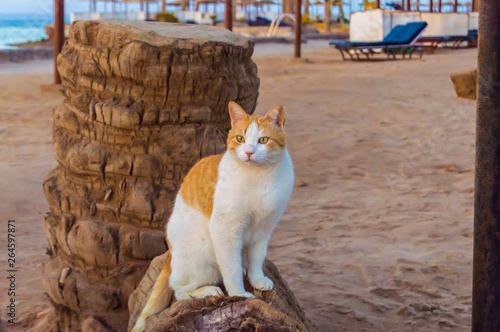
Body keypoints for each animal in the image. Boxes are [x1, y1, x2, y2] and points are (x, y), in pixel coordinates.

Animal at [132, 101, 292, 332]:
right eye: (240, 139)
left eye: (263, 140)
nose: (249, 152)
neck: (259, 176)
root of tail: (169, 253)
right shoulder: (226, 230)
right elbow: (231, 268)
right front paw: (239, 294)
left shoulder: (263, 229)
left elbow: (257, 258)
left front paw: (256, 279)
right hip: (203, 250)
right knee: (179, 289)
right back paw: (207, 291)